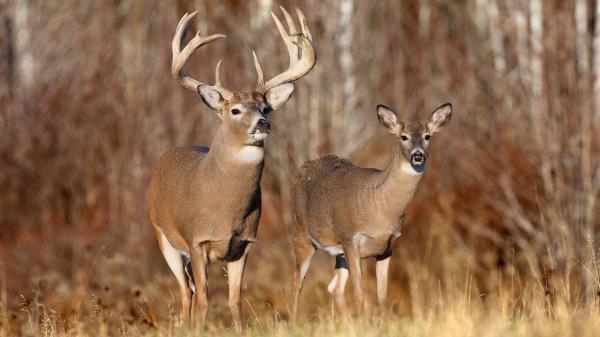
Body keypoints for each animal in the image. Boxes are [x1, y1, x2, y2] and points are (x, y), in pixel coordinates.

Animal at [148, 7, 316, 330]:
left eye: (265, 108)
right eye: (235, 110)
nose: (263, 124)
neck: (226, 210)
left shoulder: (244, 244)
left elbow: (235, 301)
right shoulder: (197, 240)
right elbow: (204, 300)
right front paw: (199, 329)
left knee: (189, 289)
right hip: (163, 237)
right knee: (185, 292)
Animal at [290, 102, 450, 318]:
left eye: (428, 136)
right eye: (403, 136)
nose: (418, 155)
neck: (381, 209)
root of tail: (303, 168)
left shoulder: (387, 247)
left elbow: (381, 295)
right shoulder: (350, 239)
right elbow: (360, 294)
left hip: (339, 253)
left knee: (335, 288)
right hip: (302, 232)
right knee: (297, 282)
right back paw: (293, 320)